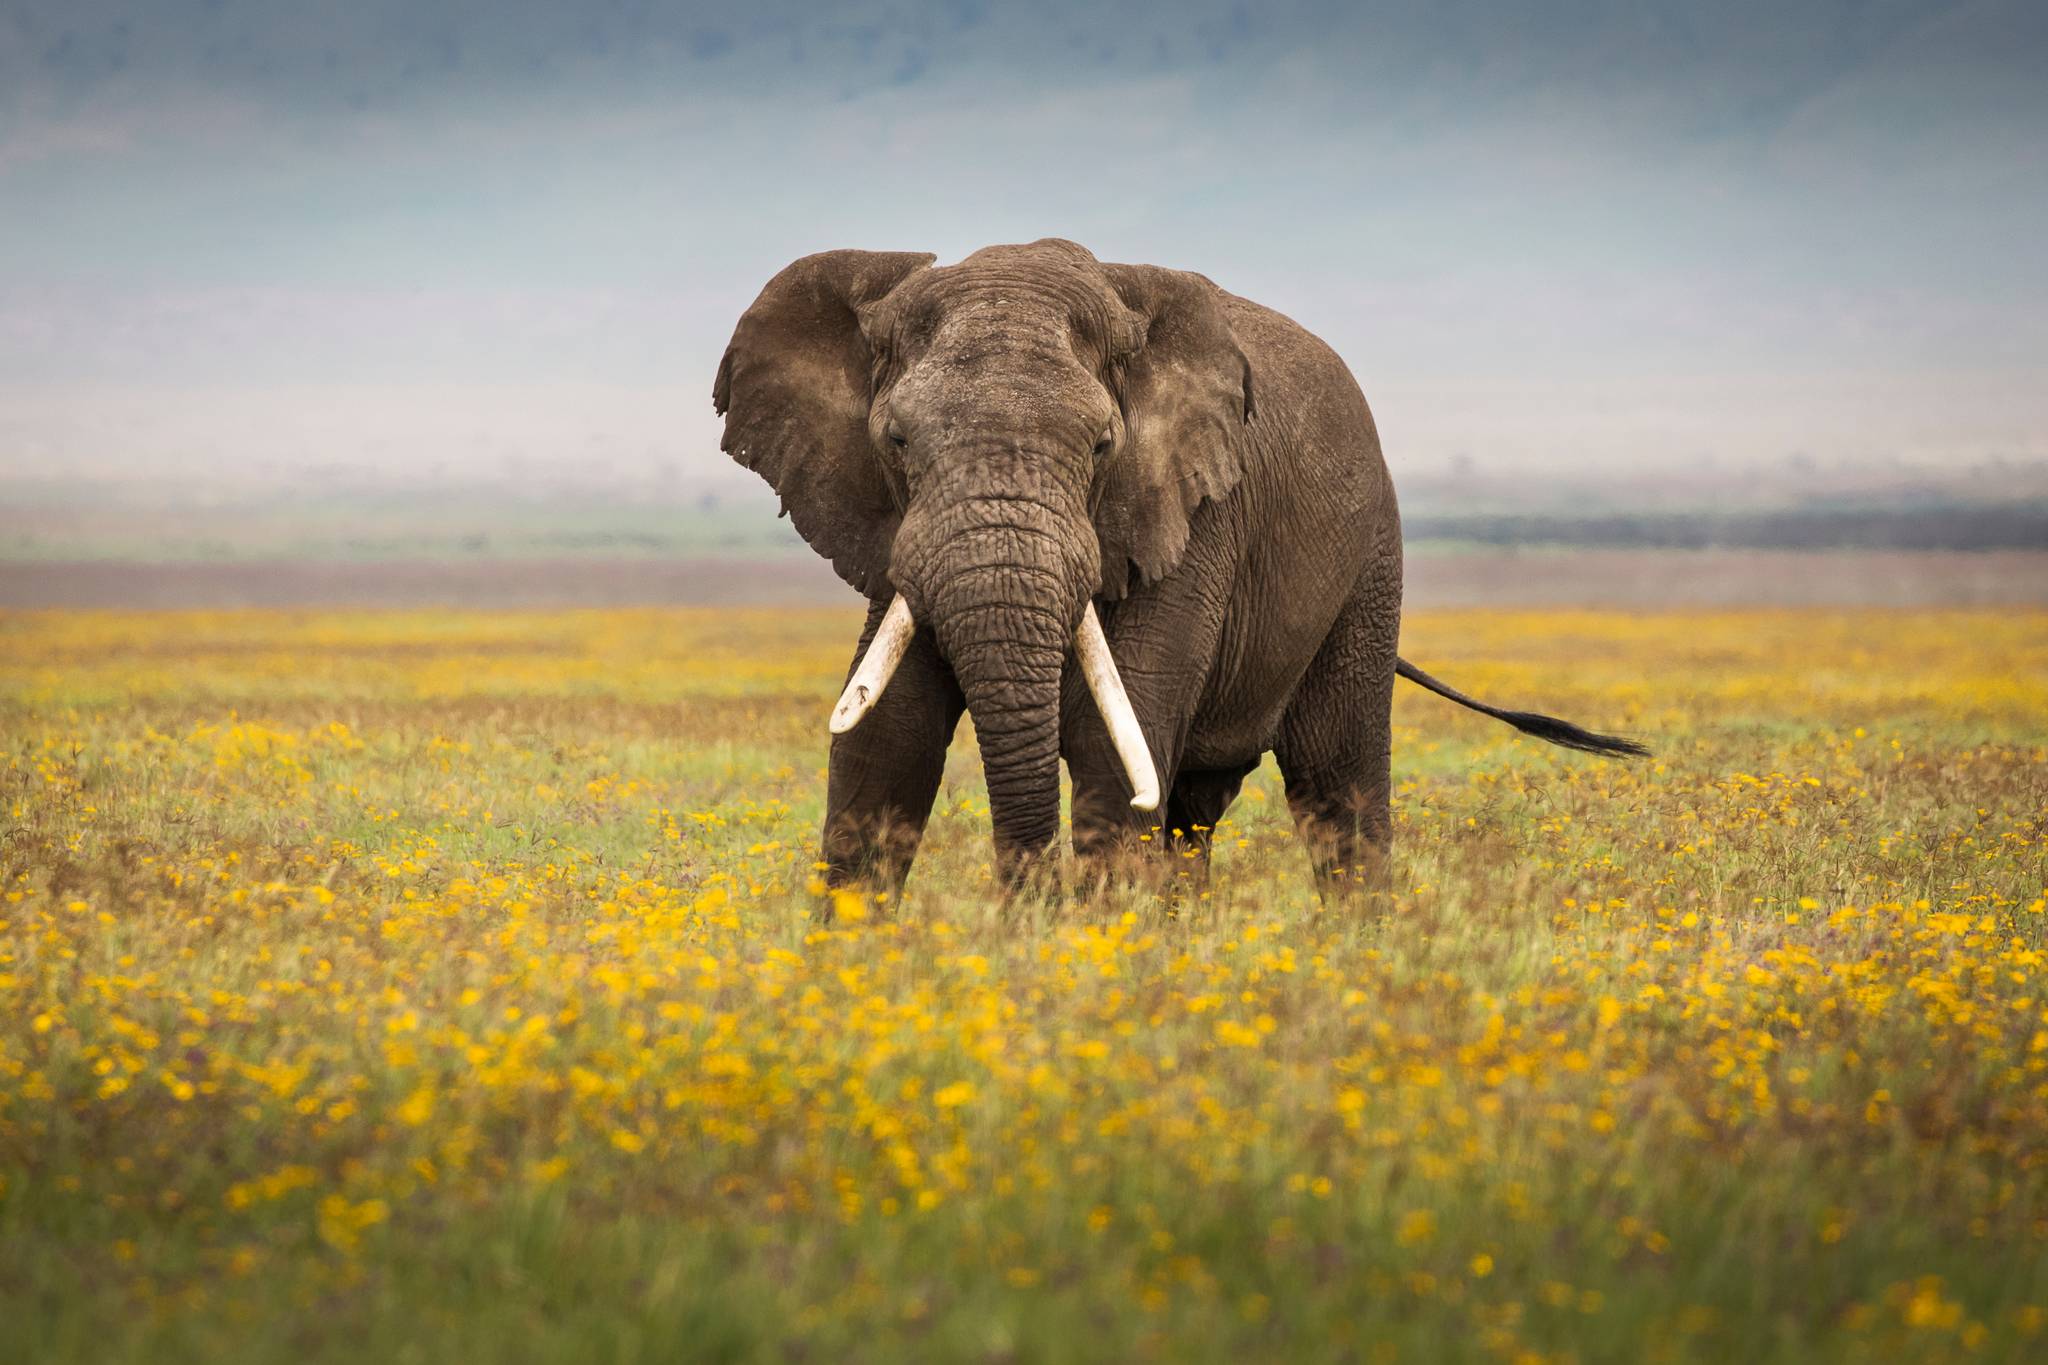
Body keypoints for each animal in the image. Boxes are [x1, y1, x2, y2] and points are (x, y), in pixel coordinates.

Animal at [712, 240, 1638, 900]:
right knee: (1195, 811)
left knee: (1336, 788)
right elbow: (885, 741)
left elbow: (1111, 751)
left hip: (1370, 559)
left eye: (1101, 446)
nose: (1027, 909)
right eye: (896, 441)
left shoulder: (1196, 519)